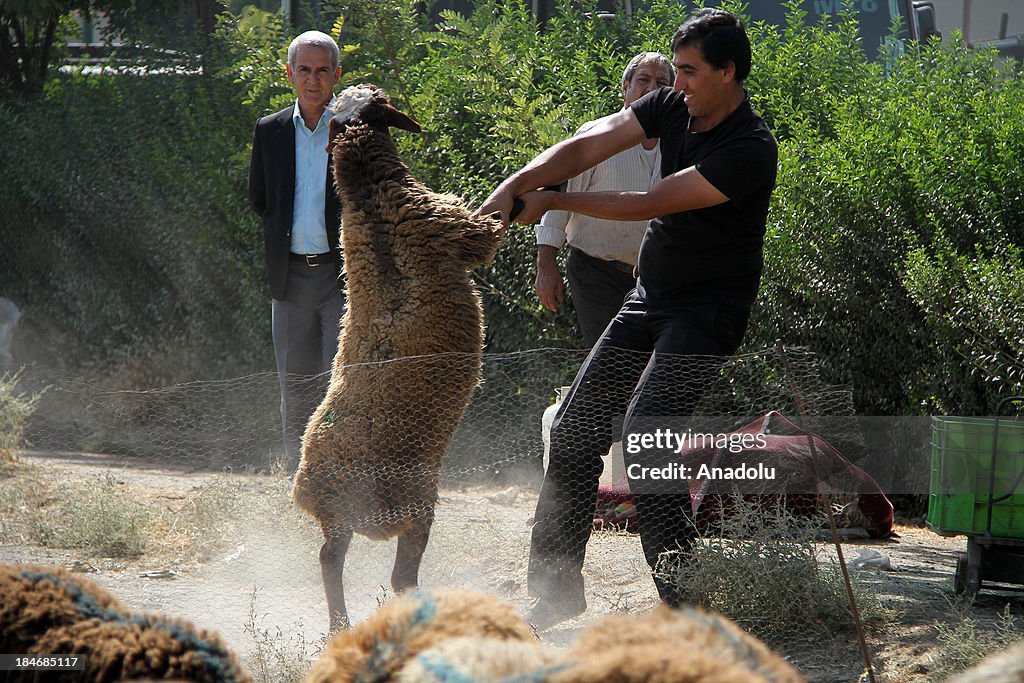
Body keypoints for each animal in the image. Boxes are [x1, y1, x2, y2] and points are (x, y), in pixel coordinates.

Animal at [292, 82, 503, 634]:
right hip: (414, 505)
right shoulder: (458, 228)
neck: (369, 198)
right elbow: (491, 228)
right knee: (401, 575)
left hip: (343, 522)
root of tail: (314, 489)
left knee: (329, 558)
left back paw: (339, 626)